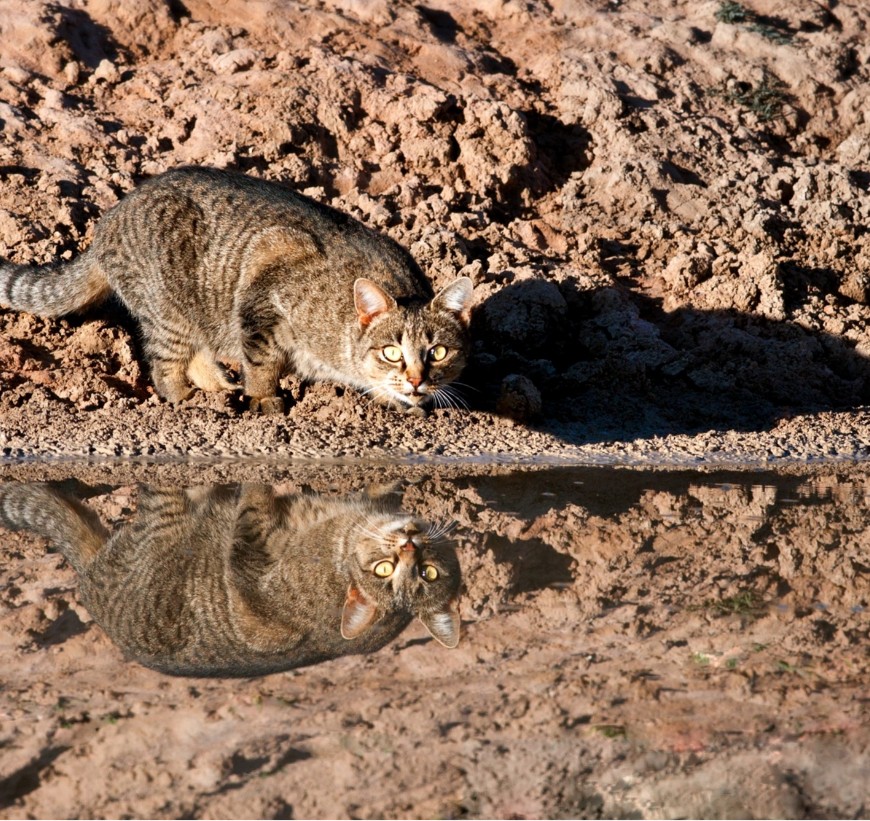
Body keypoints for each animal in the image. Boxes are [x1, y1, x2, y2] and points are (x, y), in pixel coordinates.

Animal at [0, 167, 474, 414]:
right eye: (392, 351)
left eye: (438, 353)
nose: (416, 380)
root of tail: (108, 220)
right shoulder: (267, 280)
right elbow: (262, 360)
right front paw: (264, 398)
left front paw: (396, 399)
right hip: (169, 308)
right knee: (166, 362)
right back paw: (188, 399)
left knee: (198, 353)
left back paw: (219, 388)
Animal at [0, 478, 464, 676]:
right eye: (427, 571)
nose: (410, 544)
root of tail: (90, 577)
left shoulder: (251, 559)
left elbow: (252, 506)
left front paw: (258, 478)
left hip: (161, 530)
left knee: (160, 492)